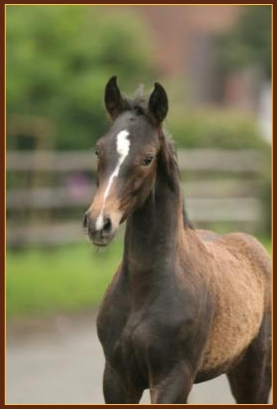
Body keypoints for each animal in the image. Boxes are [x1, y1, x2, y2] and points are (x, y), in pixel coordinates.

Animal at [83, 75, 270, 402]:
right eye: (98, 150)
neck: (144, 289)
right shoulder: (117, 378)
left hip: (255, 372)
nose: (99, 223)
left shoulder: (173, 379)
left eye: (147, 158)